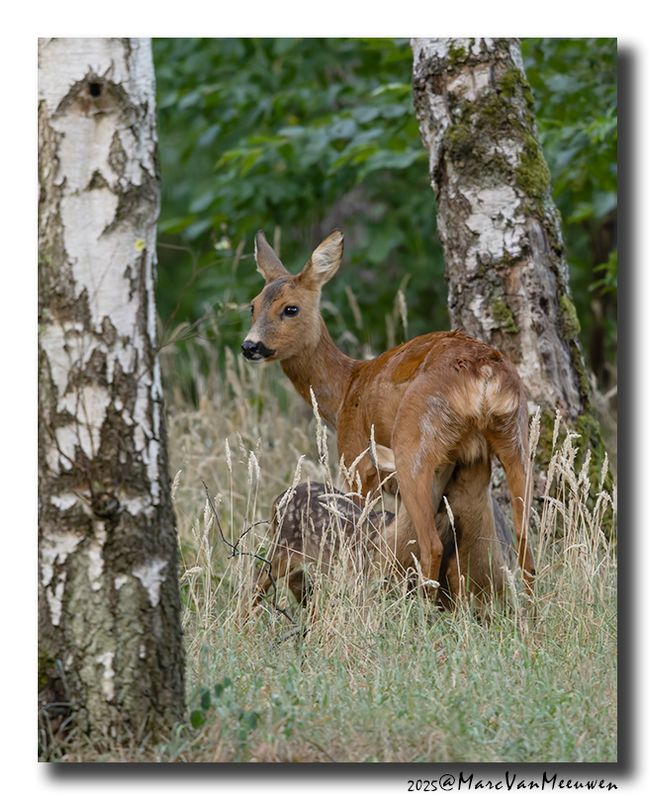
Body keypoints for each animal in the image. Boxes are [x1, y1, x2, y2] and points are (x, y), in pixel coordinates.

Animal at [241, 230, 535, 598]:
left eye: (290, 309)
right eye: (252, 305)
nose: (249, 346)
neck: (346, 391)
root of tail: (482, 373)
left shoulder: (355, 461)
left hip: (415, 444)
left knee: (431, 544)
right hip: (515, 434)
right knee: (525, 538)